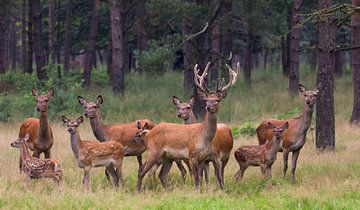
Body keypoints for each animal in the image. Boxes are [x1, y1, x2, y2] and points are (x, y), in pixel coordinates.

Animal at [136, 61, 238, 191]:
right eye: (206, 100)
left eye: (217, 100)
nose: (208, 107)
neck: (203, 135)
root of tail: (149, 133)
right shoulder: (192, 155)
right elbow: (197, 179)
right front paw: (196, 191)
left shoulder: (203, 158)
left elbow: (201, 178)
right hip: (153, 151)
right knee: (141, 171)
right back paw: (138, 191)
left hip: (167, 157)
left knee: (162, 175)